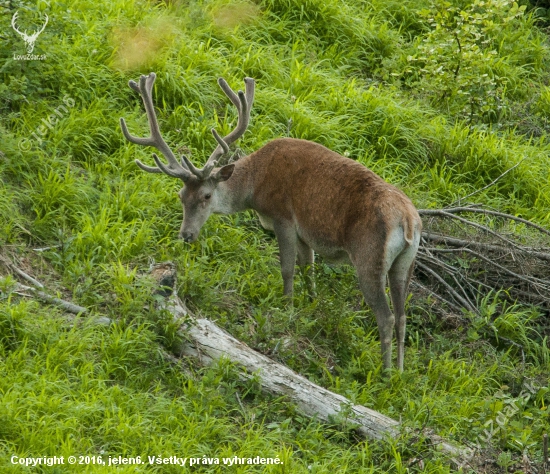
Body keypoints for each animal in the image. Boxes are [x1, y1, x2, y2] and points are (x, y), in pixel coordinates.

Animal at [121, 74, 422, 372]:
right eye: (181, 195)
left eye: (206, 195)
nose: (186, 235)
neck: (256, 189)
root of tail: (409, 220)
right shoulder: (305, 234)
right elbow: (308, 270)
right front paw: (310, 309)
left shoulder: (283, 217)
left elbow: (287, 269)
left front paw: (286, 308)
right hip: (404, 263)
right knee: (402, 316)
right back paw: (400, 371)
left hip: (369, 257)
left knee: (386, 316)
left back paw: (385, 372)